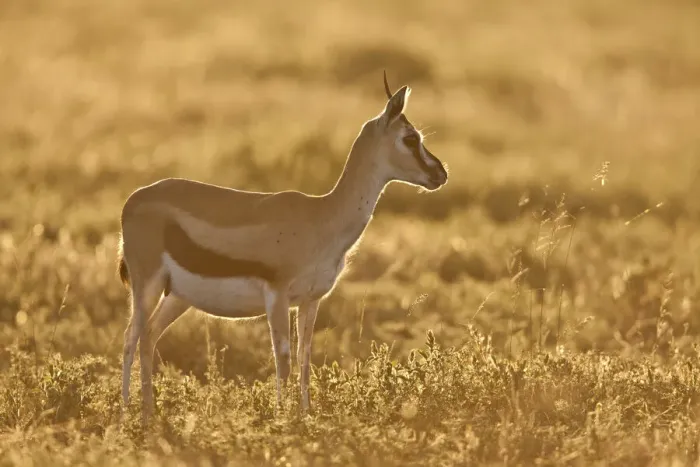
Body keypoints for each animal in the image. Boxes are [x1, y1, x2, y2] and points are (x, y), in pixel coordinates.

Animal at [117, 72, 448, 420]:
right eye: (410, 138)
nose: (440, 173)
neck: (322, 216)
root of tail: (133, 200)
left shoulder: (311, 300)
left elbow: (304, 357)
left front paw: (305, 415)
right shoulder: (277, 296)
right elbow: (283, 358)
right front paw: (281, 418)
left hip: (178, 297)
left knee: (148, 337)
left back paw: (148, 413)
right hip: (147, 285)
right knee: (131, 338)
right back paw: (128, 413)